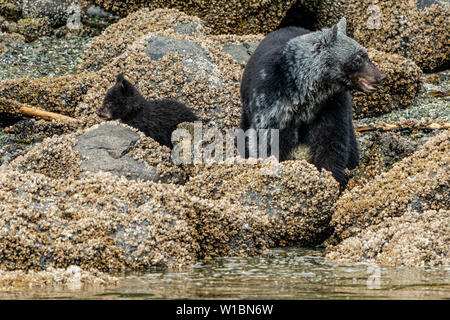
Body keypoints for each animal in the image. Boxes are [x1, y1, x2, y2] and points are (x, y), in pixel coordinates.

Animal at [241, 17, 384, 184]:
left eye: (365, 54)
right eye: (357, 58)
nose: (381, 76)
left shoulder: (330, 103)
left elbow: (331, 140)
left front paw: (329, 174)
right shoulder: (271, 98)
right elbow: (269, 138)